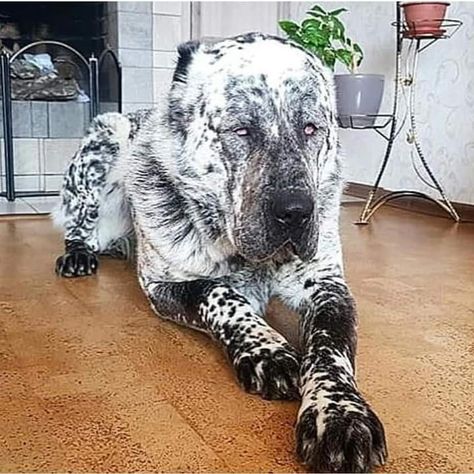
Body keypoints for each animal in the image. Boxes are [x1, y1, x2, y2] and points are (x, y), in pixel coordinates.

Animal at [53, 32, 386, 470]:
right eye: (240, 130)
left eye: (312, 127)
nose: (297, 212)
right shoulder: (163, 286)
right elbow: (218, 292)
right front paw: (266, 349)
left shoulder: (328, 286)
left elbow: (331, 347)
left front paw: (340, 413)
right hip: (104, 140)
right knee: (79, 226)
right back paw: (78, 254)